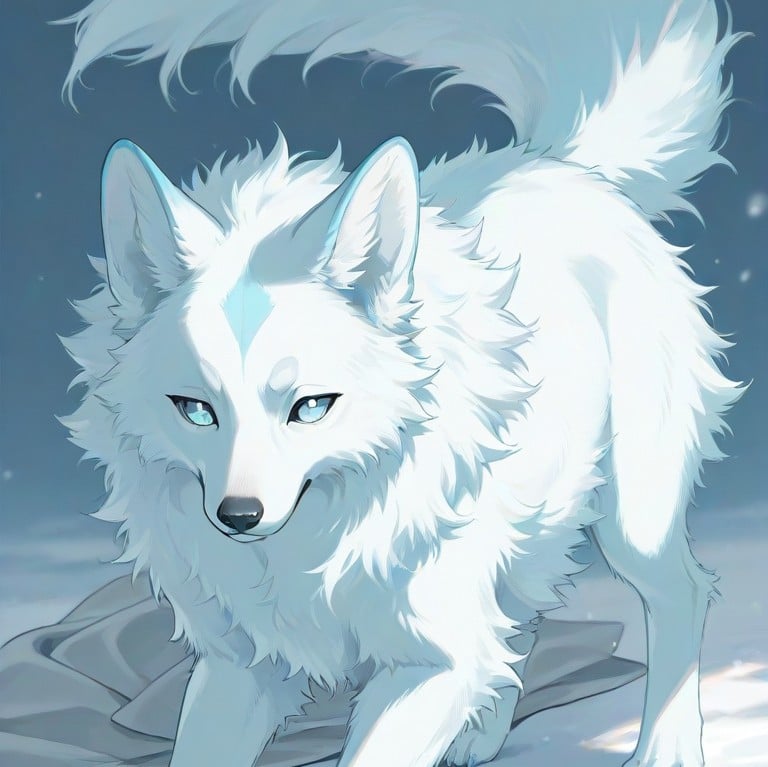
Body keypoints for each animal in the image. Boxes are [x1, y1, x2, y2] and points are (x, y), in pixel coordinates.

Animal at [59, 1, 744, 765]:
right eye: (195, 410)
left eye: (311, 407)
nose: (238, 515)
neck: (305, 549)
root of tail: (564, 164)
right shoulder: (241, 665)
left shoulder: (428, 666)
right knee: (518, 618)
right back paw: (482, 735)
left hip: (633, 519)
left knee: (683, 593)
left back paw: (665, 746)